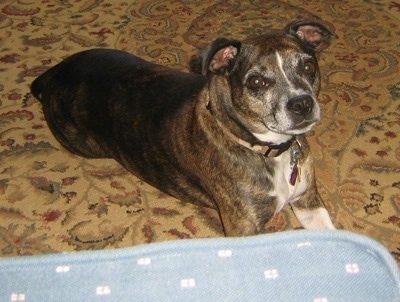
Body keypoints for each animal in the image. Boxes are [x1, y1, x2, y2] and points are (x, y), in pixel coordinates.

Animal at [31, 19, 336, 236]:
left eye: (308, 67)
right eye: (256, 82)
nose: (302, 104)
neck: (264, 148)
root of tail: (54, 73)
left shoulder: (309, 201)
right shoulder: (244, 228)